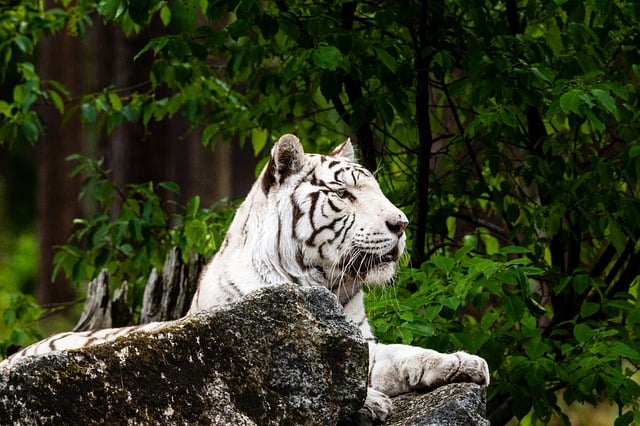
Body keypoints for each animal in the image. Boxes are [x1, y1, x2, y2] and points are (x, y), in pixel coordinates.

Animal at [1, 135, 490, 422]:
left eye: (375, 189)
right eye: (342, 193)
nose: (401, 224)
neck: (327, 286)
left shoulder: (362, 340)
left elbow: (403, 354)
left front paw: (463, 363)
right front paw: (370, 401)